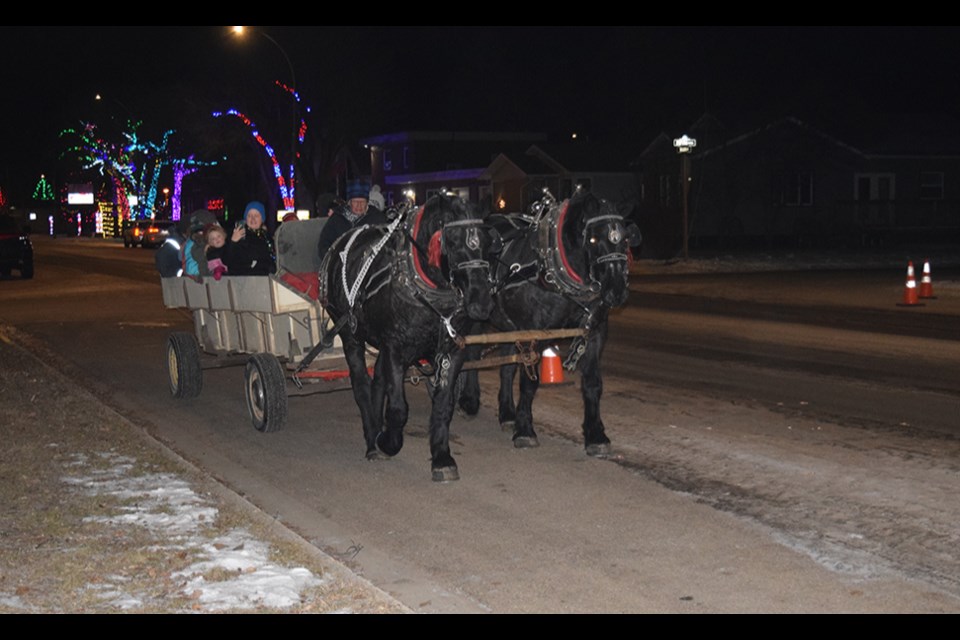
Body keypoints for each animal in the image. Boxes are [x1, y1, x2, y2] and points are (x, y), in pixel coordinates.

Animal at [322, 192, 502, 482]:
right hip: (350, 334)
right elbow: (398, 408)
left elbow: (443, 404)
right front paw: (387, 441)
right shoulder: (396, 349)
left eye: (489, 242)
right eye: (452, 241)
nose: (482, 303)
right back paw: (372, 438)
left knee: (377, 382)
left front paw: (441, 457)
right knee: (361, 385)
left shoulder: (451, 351)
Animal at [462, 189, 640, 456]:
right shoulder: (533, 332)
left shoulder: (595, 331)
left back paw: (507, 413)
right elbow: (529, 383)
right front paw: (525, 430)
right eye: (593, 240)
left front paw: (596, 435)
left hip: (508, 324)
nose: (617, 291)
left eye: (625, 239)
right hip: (476, 315)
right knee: (471, 353)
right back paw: (470, 400)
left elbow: (592, 383)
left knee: (506, 367)